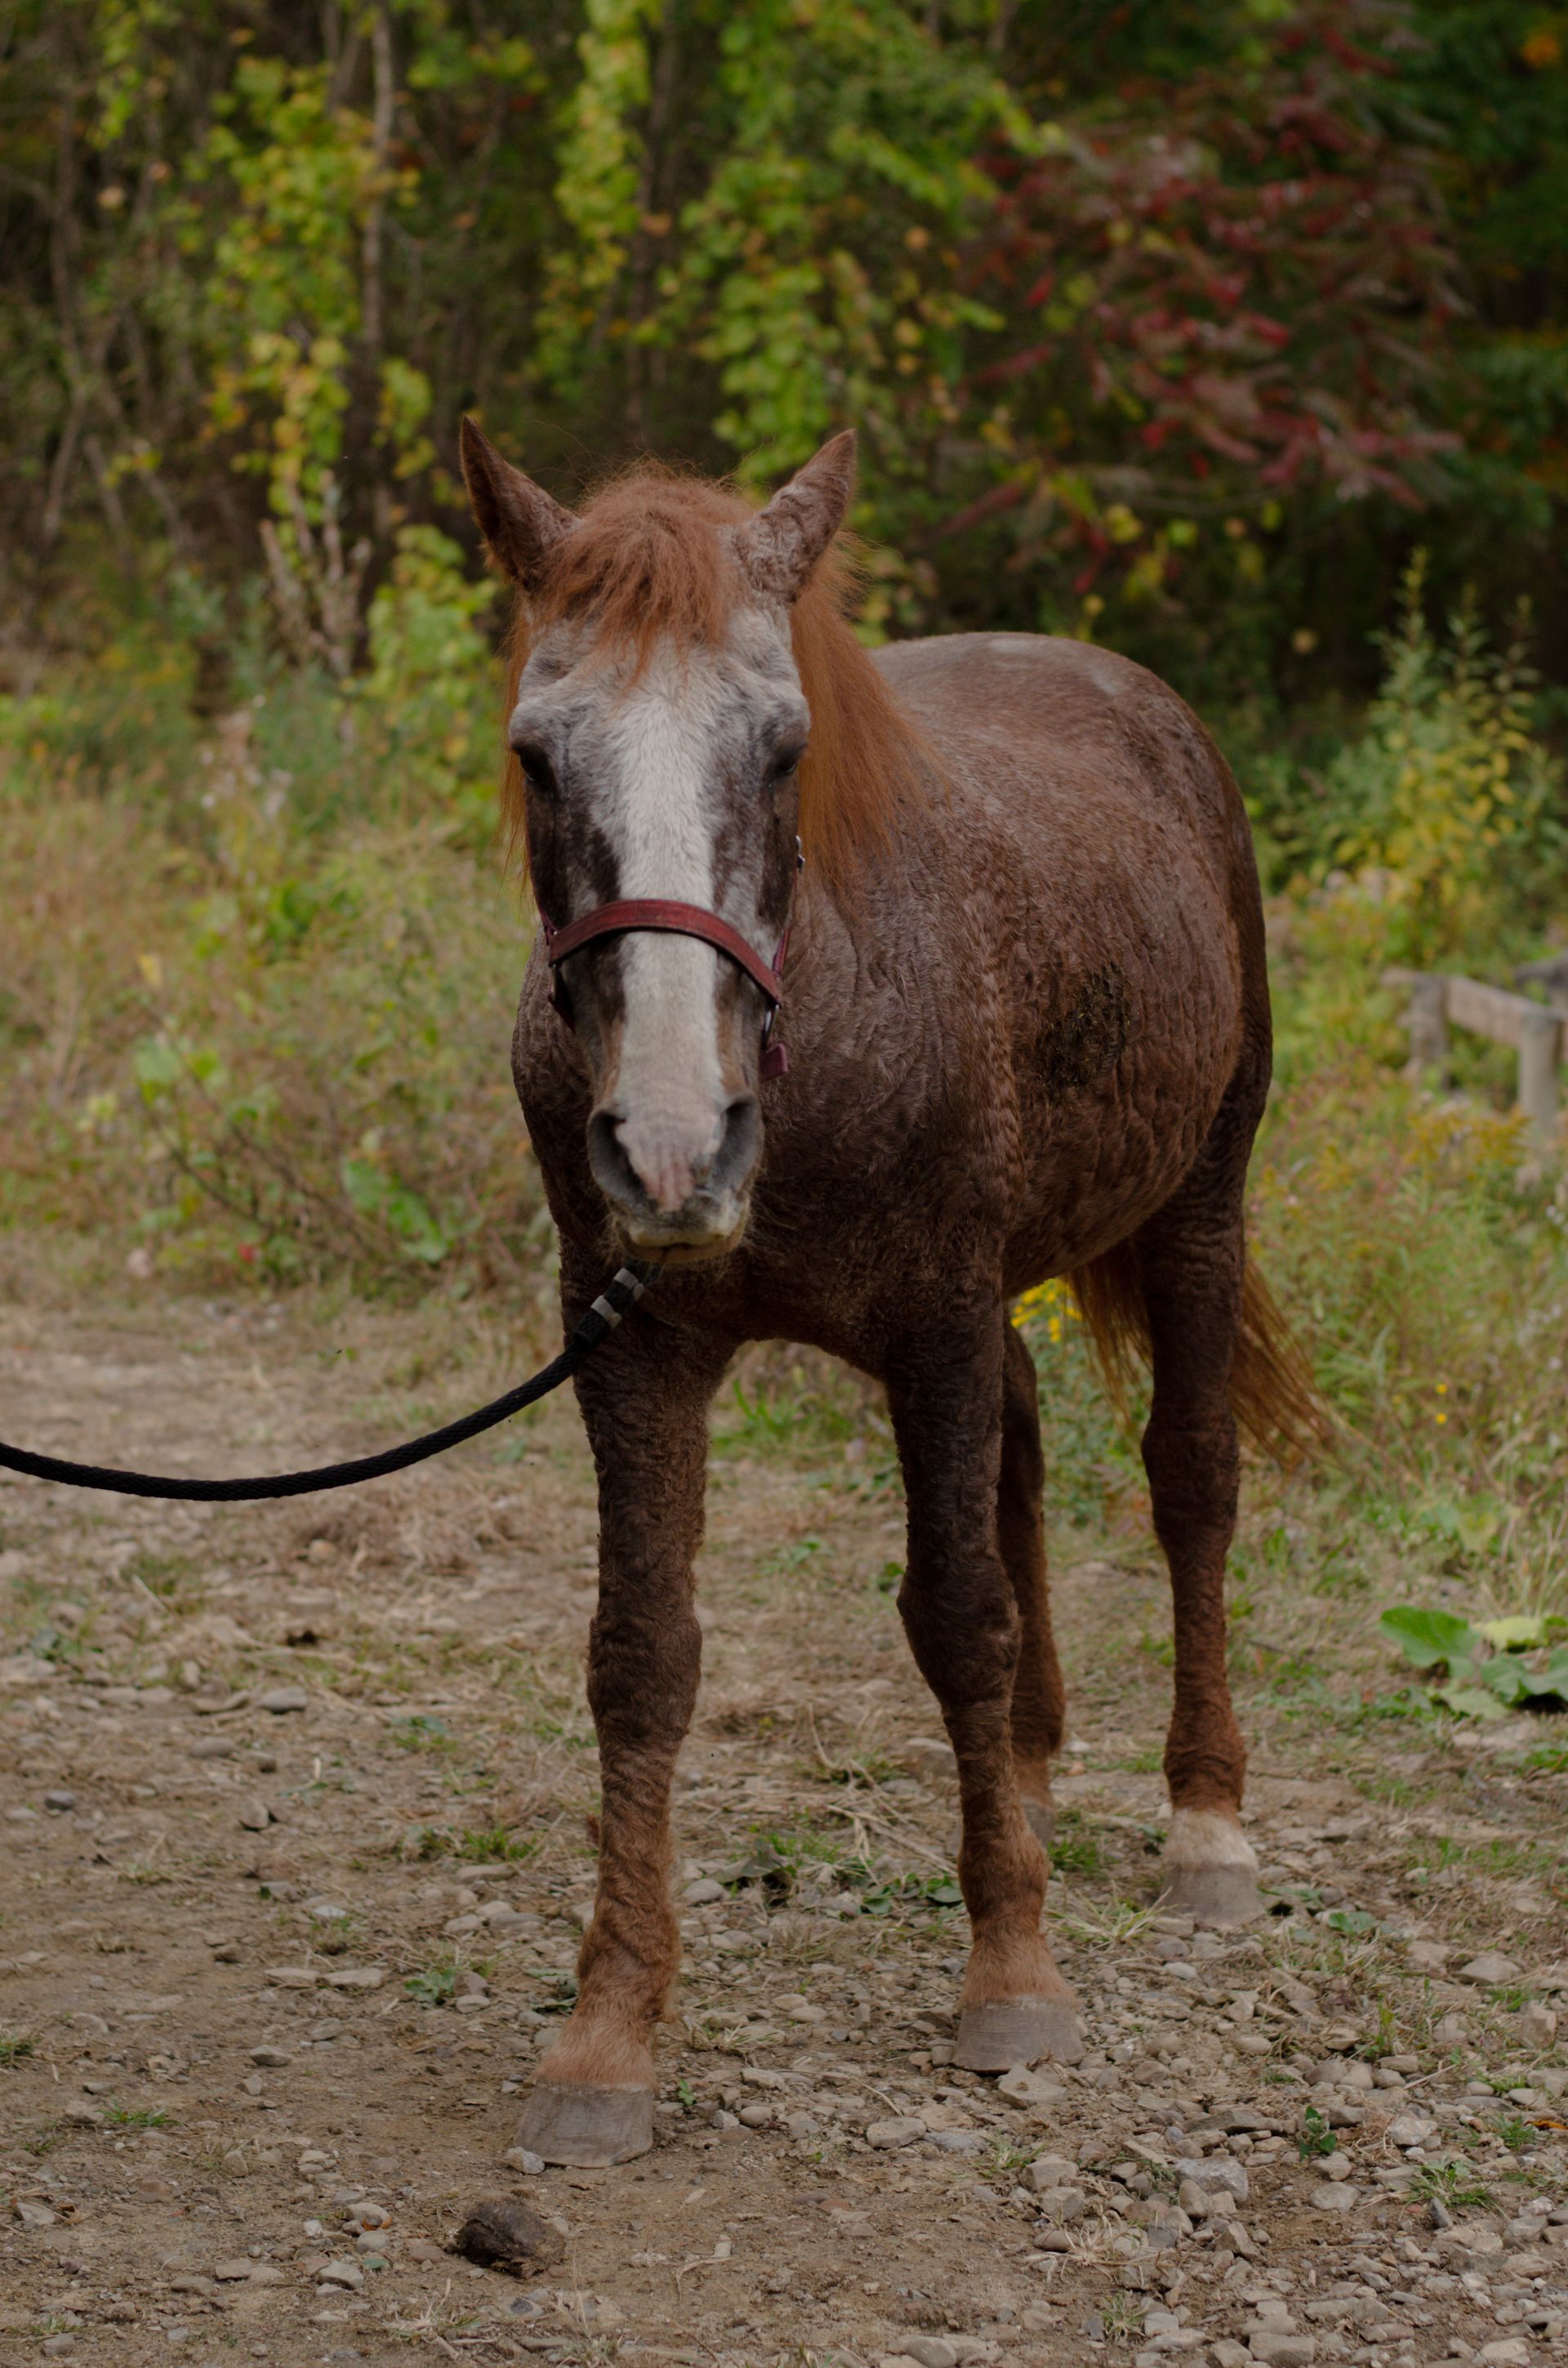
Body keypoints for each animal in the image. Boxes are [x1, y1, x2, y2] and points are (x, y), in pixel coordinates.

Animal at [458, 421, 1320, 2169]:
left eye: (785, 749)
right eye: (536, 753)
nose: (671, 1143)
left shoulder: (932, 1319)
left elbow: (957, 1610)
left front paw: (1011, 1968)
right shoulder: (639, 1346)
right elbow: (641, 1650)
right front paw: (608, 2029)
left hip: (1200, 1202)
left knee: (1189, 1481)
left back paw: (1203, 1819)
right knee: (1030, 1449)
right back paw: (1037, 1776)